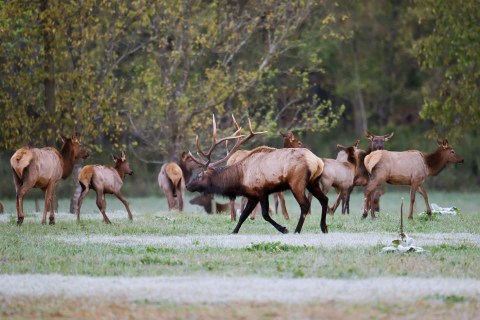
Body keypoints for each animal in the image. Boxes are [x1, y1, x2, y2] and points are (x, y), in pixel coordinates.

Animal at [186, 114, 328, 234]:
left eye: (199, 175)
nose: (187, 186)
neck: (240, 178)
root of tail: (318, 161)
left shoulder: (261, 191)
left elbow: (265, 214)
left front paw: (283, 229)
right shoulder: (252, 195)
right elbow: (243, 215)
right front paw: (233, 231)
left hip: (296, 183)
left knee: (305, 205)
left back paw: (297, 230)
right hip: (313, 182)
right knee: (324, 199)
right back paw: (324, 227)